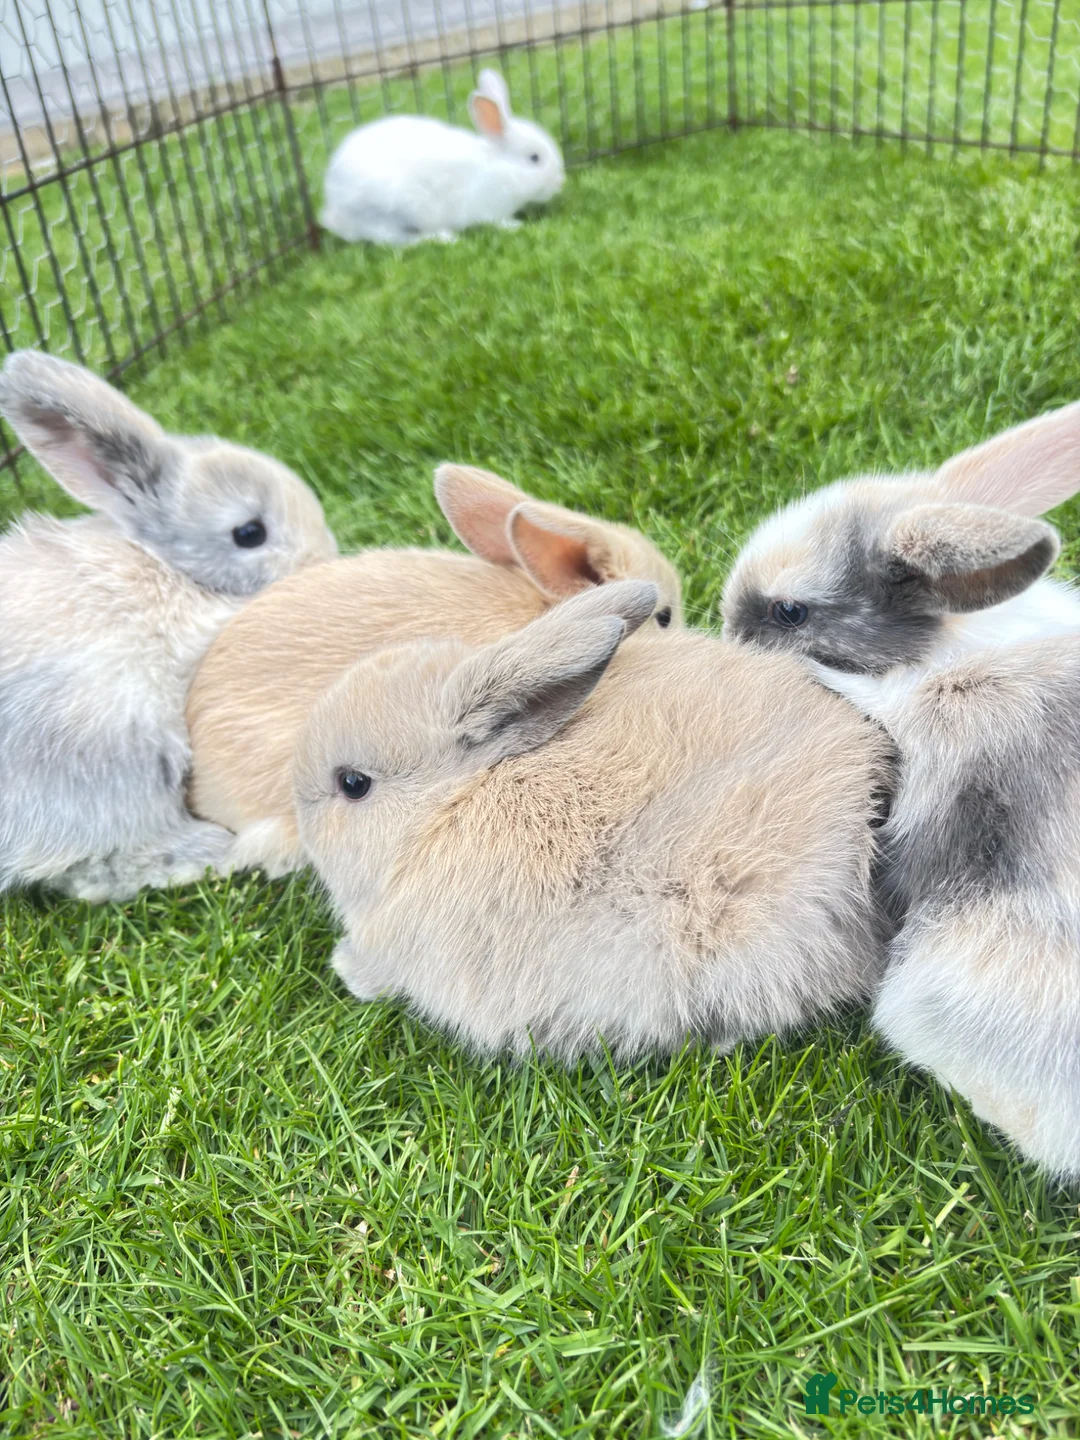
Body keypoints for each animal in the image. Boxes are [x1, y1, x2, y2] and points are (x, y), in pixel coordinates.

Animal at [320, 69, 564, 245]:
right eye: (534, 158)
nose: (560, 183)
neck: (499, 167)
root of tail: (336, 213)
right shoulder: (486, 206)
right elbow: (495, 221)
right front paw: (515, 226)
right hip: (397, 210)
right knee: (394, 240)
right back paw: (444, 238)